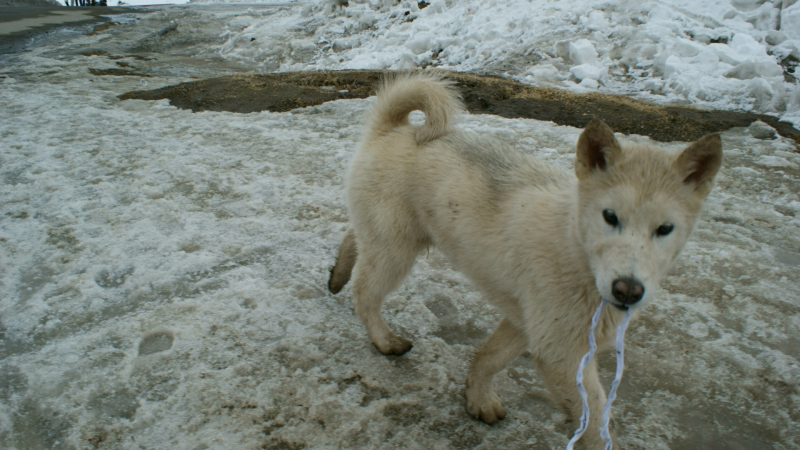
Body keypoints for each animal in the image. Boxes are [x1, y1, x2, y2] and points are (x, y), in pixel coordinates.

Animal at [328, 72, 720, 448]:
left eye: (665, 228)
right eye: (610, 216)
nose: (628, 290)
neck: (574, 245)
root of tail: (393, 128)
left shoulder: (527, 322)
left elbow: (489, 357)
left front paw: (478, 399)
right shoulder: (561, 351)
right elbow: (594, 422)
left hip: (393, 236)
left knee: (353, 236)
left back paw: (337, 274)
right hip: (395, 249)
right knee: (365, 292)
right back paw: (383, 338)